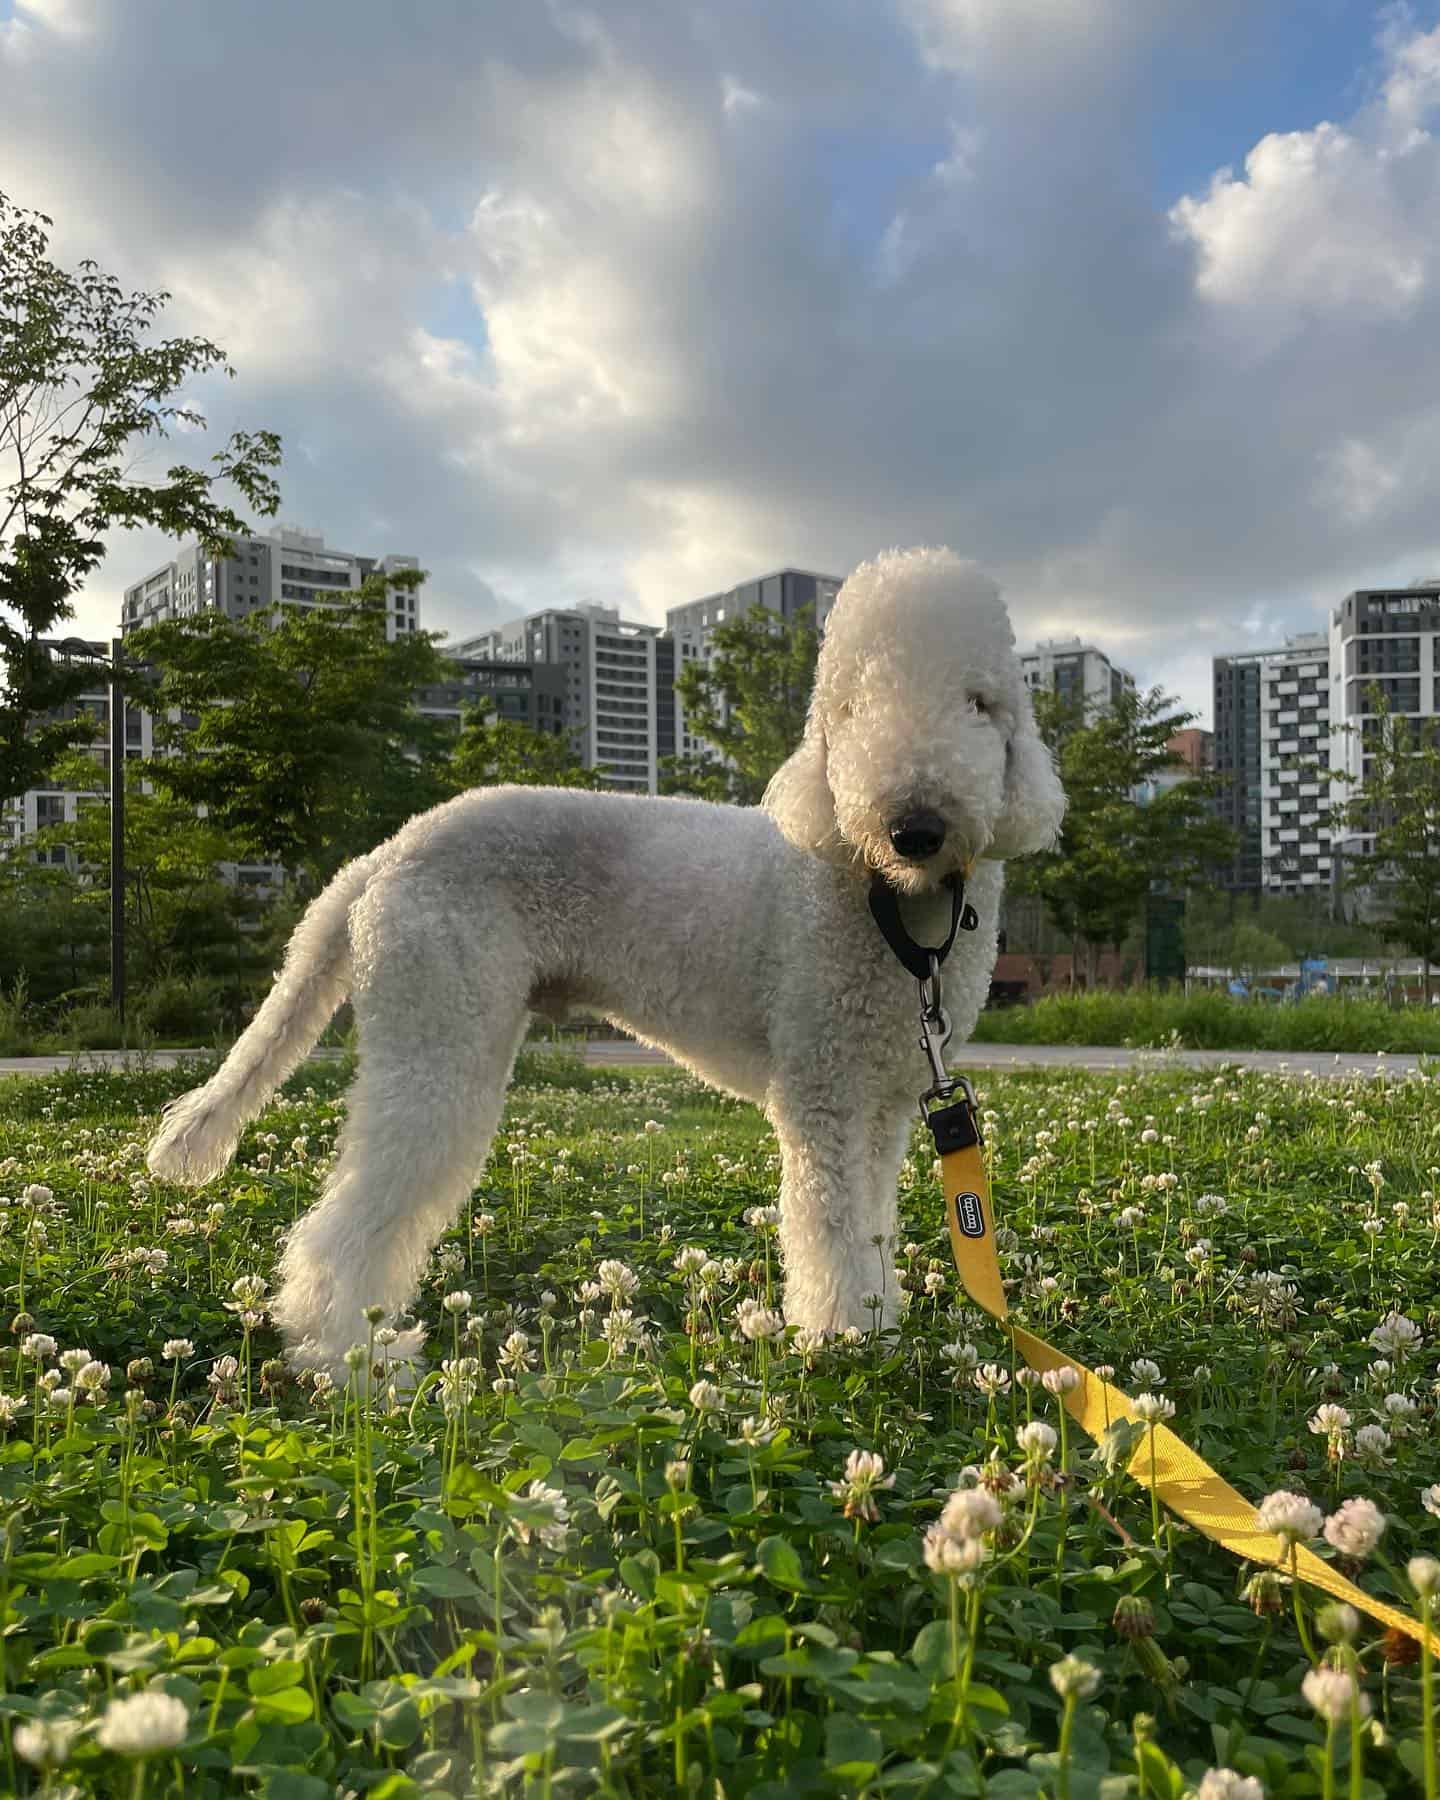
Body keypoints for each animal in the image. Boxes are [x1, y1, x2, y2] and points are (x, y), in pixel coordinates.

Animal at [145, 547, 1065, 1375]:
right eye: (850, 707)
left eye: (980, 703)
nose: (916, 826)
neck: (886, 899)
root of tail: (385, 854)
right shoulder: (824, 1095)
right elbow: (831, 1233)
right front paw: (841, 1341)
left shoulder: (884, 1101)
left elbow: (868, 1227)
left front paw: (875, 1329)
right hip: (439, 1027)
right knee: (347, 1224)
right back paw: (355, 1365)